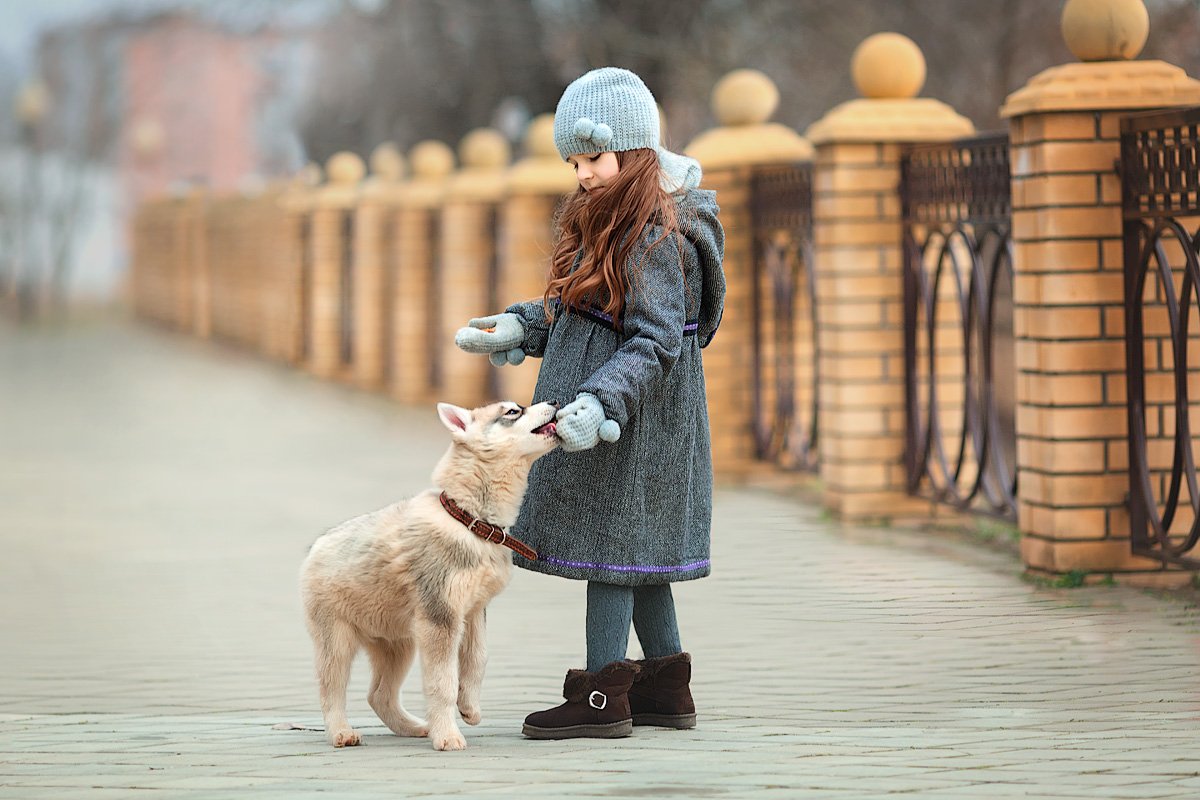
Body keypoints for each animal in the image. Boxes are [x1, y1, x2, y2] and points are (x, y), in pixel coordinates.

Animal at [300, 400, 561, 753]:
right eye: (512, 412)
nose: (556, 403)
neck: (470, 520)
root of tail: (317, 546)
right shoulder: (441, 620)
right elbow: (443, 682)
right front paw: (448, 735)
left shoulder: (473, 612)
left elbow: (478, 660)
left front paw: (470, 708)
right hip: (337, 641)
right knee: (331, 689)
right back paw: (341, 732)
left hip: (398, 645)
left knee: (379, 695)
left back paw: (413, 727)